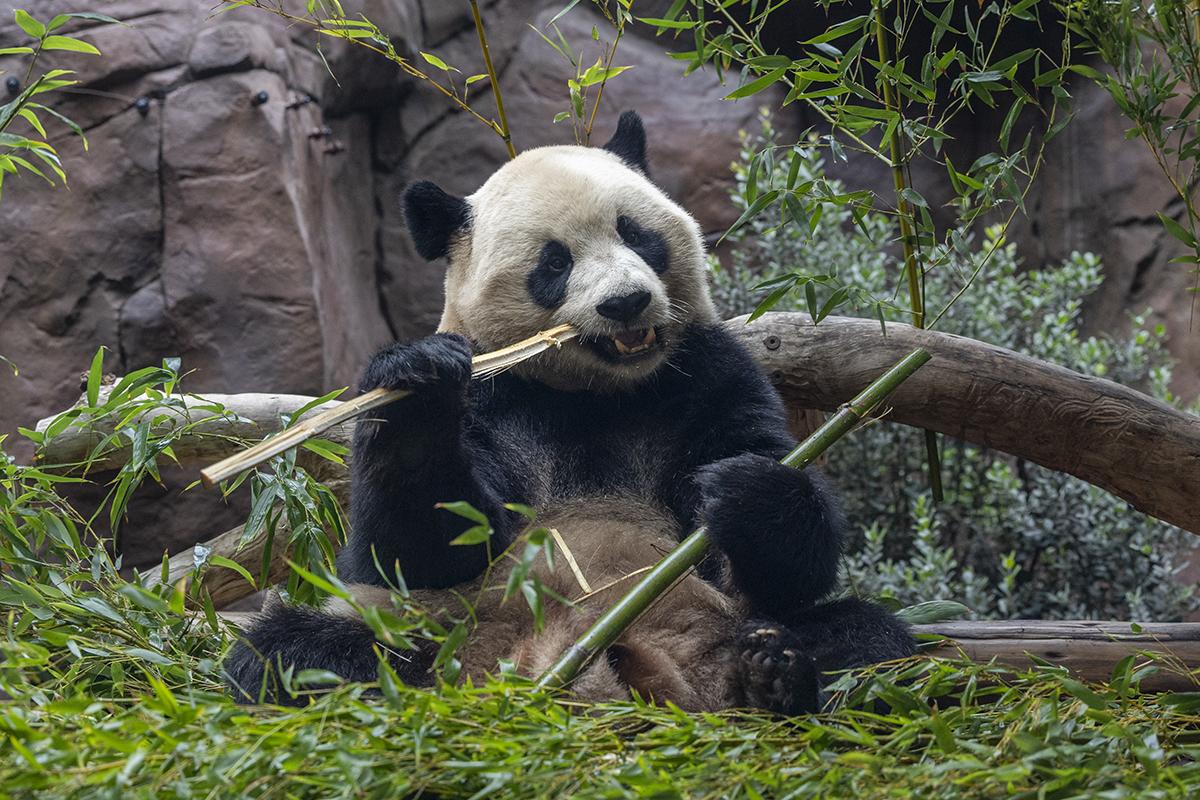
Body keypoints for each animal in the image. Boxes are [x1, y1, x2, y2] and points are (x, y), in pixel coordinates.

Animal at [223, 111, 914, 713]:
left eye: (636, 234)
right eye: (554, 262)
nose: (627, 302)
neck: (595, 392)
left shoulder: (708, 373)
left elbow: (783, 552)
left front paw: (742, 489)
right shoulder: (497, 396)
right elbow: (417, 550)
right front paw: (417, 383)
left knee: (868, 638)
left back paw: (771, 674)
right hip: (438, 636)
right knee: (293, 656)